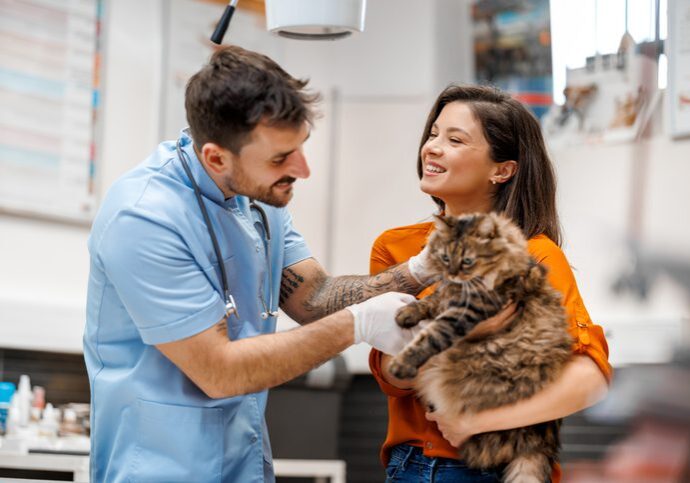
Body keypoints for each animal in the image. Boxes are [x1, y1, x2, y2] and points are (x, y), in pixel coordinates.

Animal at [388, 214, 568, 482]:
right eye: (445, 258)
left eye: (467, 261)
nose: (452, 273)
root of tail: (540, 442)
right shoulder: (447, 295)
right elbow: (430, 300)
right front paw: (407, 313)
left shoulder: (465, 312)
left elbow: (430, 335)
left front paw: (401, 363)